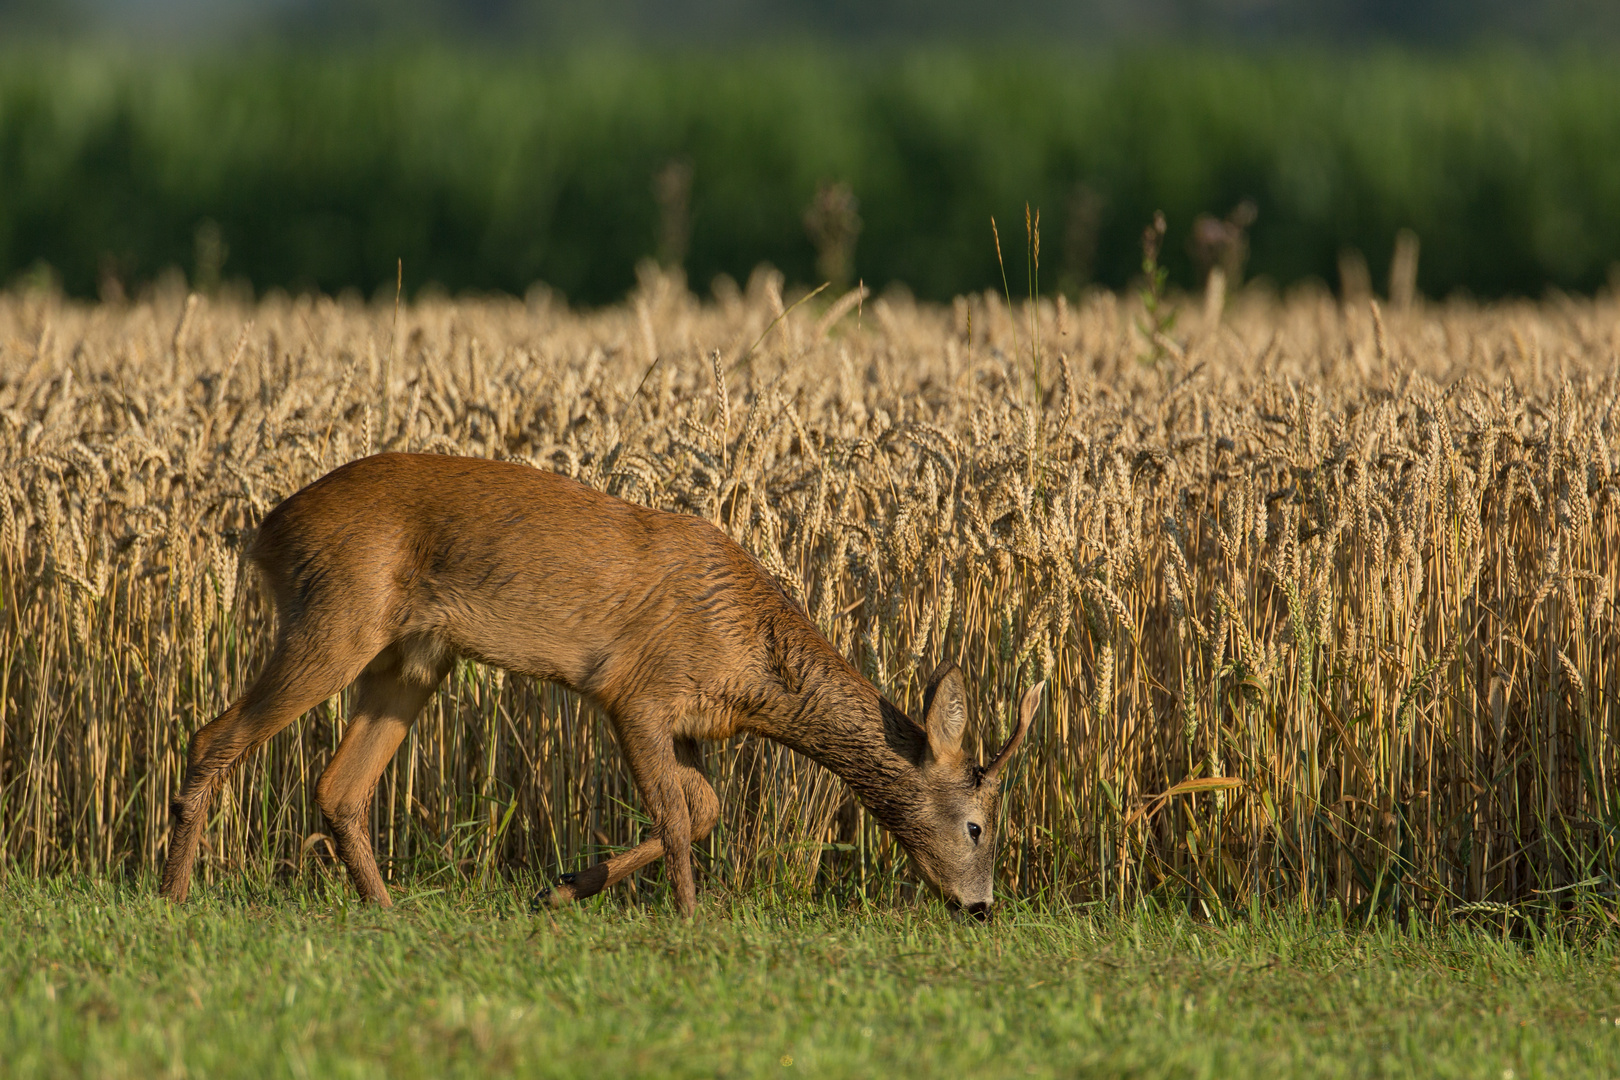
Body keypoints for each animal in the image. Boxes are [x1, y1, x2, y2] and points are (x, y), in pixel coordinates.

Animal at [157, 453, 1043, 919]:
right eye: (975, 825)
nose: (983, 906)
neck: (752, 659)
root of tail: (263, 531)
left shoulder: (689, 721)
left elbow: (704, 809)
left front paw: (563, 888)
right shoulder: (635, 690)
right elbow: (680, 818)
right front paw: (689, 917)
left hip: (412, 659)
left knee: (338, 786)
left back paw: (386, 910)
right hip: (334, 619)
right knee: (214, 735)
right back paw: (171, 895)